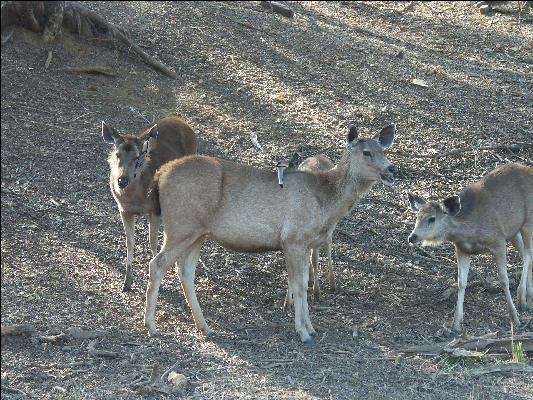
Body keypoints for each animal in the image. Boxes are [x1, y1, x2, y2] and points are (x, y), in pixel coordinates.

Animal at [102, 115, 197, 290]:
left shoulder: (155, 209)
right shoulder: (123, 209)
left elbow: (153, 242)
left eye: (137, 157)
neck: (135, 198)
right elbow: (130, 242)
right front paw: (127, 282)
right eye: (117, 154)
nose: (122, 180)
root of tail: (182, 121)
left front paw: (157, 281)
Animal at [143, 122, 396, 344]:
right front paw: (303, 332)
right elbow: (299, 285)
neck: (325, 202)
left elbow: (302, 283)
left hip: (198, 232)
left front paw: (311, 328)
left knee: (184, 271)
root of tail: (160, 174)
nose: (392, 168)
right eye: (366, 152)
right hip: (181, 225)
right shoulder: (293, 238)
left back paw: (204, 326)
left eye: (383, 150)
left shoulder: (304, 243)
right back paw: (151, 326)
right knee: (157, 264)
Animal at [408, 162, 532, 334]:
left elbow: (504, 280)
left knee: (527, 254)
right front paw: (455, 326)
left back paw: (522, 301)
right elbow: (461, 283)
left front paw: (515, 319)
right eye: (417, 217)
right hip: (514, 231)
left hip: (528, 220)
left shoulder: (498, 241)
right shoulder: (462, 249)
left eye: (432, 218)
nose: (412, 237)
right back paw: (528, 299)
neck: (469, 231)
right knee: (526, 254)